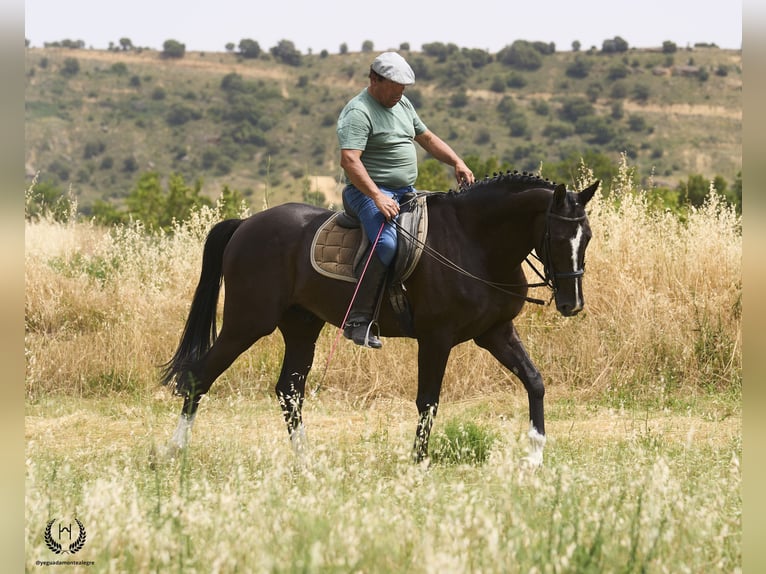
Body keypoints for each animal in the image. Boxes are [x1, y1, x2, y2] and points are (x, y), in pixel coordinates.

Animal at [164, 171, 600, 468]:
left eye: (588, 237)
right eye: (558, 238)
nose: (572, 304)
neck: (475, 242)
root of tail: (246, 225)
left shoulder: (496, 333)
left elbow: (535, 381)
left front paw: (535, 456)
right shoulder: (436, 338)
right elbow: (428, 401)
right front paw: (419, 462)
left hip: (302, 327)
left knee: (289, 391)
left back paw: (307, 462)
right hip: (247, 323)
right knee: (199, 377)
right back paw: (174, 451)